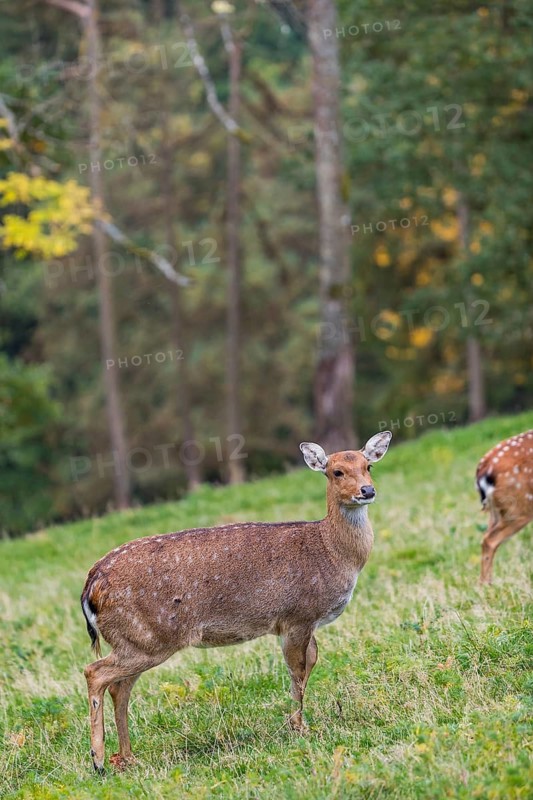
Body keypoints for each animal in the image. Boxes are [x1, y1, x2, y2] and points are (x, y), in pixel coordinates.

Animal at [80, 431, 392, 772]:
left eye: (368, 466)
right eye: (336, 471)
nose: (367, 490)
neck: (331, 552)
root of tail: (92, 584)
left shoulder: (304, 622)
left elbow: (310, 664)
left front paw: (298, 723)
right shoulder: (297, 614)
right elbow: (297, 672)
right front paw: (299, 727)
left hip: (135, 639)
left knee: (119, 688)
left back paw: (127, 757)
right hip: (147, 637)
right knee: (95, 673)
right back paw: (98, 760)